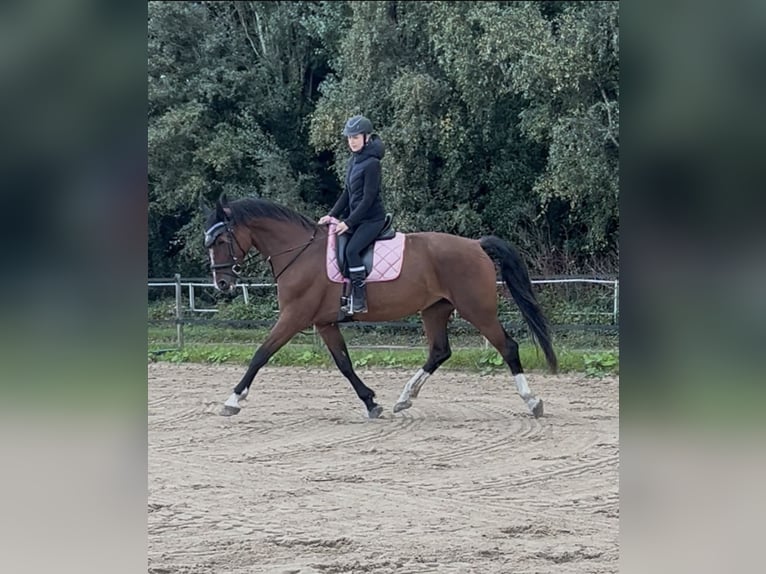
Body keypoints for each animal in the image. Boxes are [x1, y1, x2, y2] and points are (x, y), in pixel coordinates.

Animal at [204, 195, 557, 419]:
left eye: (220, 241)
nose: (222, 284)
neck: (300, 252)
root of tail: (476, 245)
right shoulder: (325, 323)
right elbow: (345, 364)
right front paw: (371, 402)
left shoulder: (294, 317)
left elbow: (260, 354)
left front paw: (233, 400)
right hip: (435, 309)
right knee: (439, 351)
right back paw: (404, 399)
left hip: (477, 310)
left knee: (507, 347)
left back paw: (533, 402)